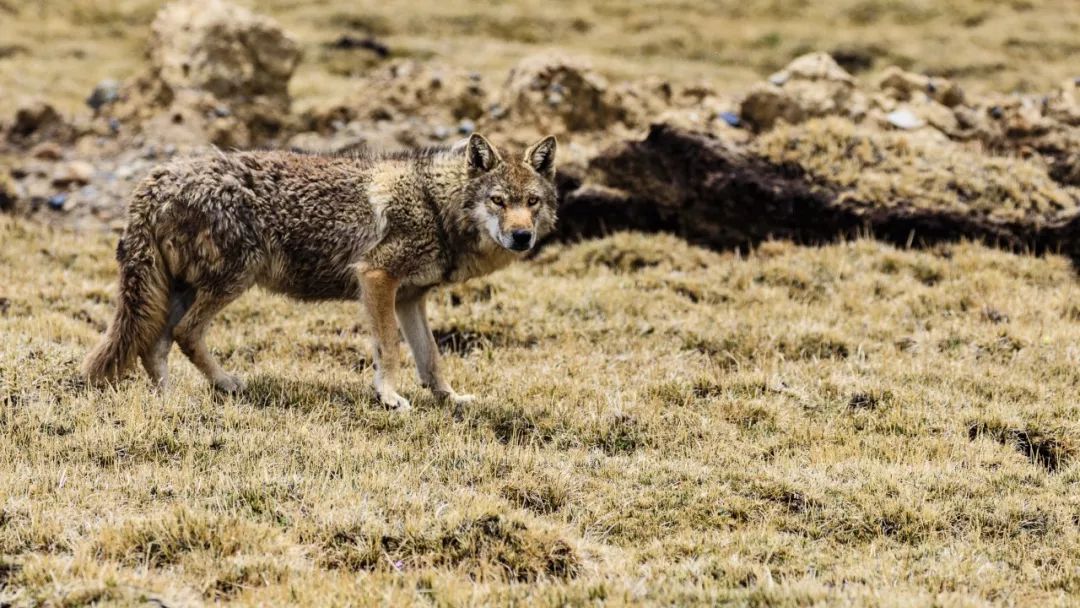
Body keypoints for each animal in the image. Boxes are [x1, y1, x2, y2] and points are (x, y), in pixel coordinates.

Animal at [82, 132, 557, 408]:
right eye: (498, 201)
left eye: (532, 202)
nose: (522, 237)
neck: (436, 204)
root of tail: (156, 179)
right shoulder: (376, 278)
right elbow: (389, 348)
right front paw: (389, 397)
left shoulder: (410, 298)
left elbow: (431, 359)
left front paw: (450, 399)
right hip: (232, 281)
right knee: (183, 335)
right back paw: (225, 385)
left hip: (185, 290)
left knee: (154, 345)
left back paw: (171, 400)